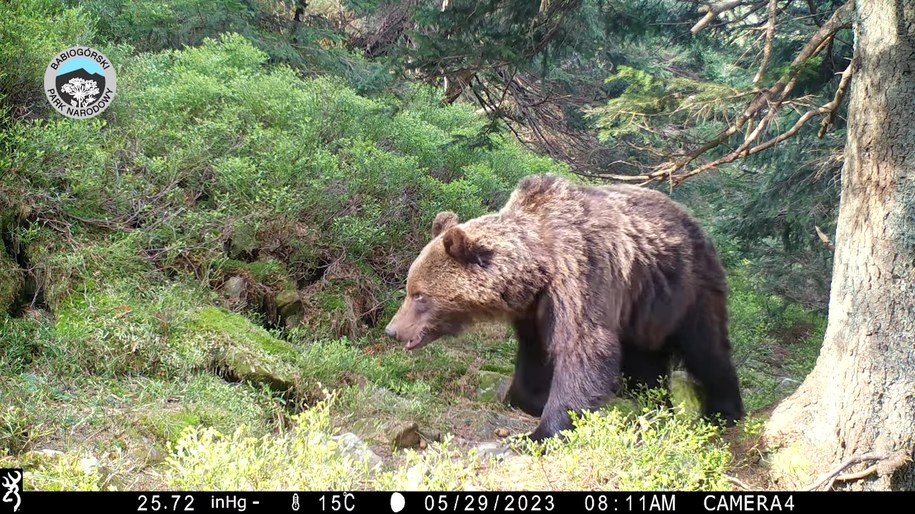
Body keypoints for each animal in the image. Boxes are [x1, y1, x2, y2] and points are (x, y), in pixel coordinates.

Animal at [384, 174, 744, 438]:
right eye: (410, 288)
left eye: (419, 295)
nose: (392, 330)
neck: (538, 269)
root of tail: (691, 218)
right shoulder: (534, 310)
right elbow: (536, 354)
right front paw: (531, 398)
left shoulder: (580, 277)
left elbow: (585, 347)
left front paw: (541, 432)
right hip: (643, 308)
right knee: (645, 360)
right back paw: (651, 402)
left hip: (687, 290)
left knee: (706, 349)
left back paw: (724, 411)